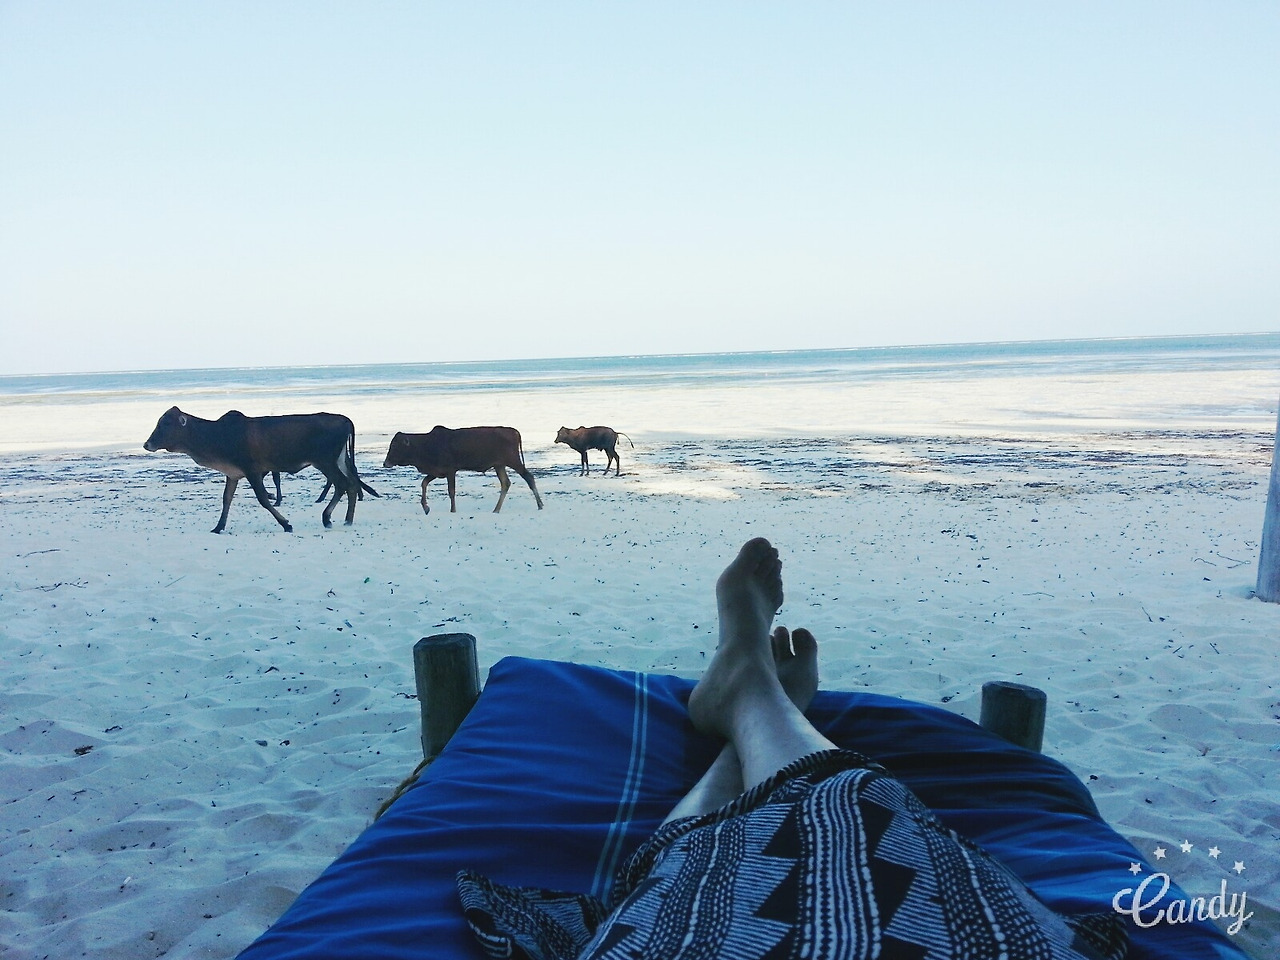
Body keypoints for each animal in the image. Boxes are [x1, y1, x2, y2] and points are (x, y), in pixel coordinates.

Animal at [144, 407, 376, 533]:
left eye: (165, 424)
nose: (147, 444)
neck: (216, 435)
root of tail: (344, 419)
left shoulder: (252, 470)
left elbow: (263, 499)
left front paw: (286, 524)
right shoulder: (233, 474)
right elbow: (226, 500)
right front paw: (218, 527)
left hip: (326, 462)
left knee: (342, 485)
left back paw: (328, 518)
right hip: (340, 460)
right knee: (352, 485)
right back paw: (347, 520)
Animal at [383, 426, 544, 515]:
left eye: (395, 446)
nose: (385, 463)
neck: (426, 446)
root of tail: (514, 432)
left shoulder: (450, 470)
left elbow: (451, 491)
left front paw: (453, 510)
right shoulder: (437, 472)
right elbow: (424, 483)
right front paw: (426, 507)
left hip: (513, 460)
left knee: (529, 477)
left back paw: (540, 505)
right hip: (499, 465)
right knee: (506, 483)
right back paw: (496, 509)